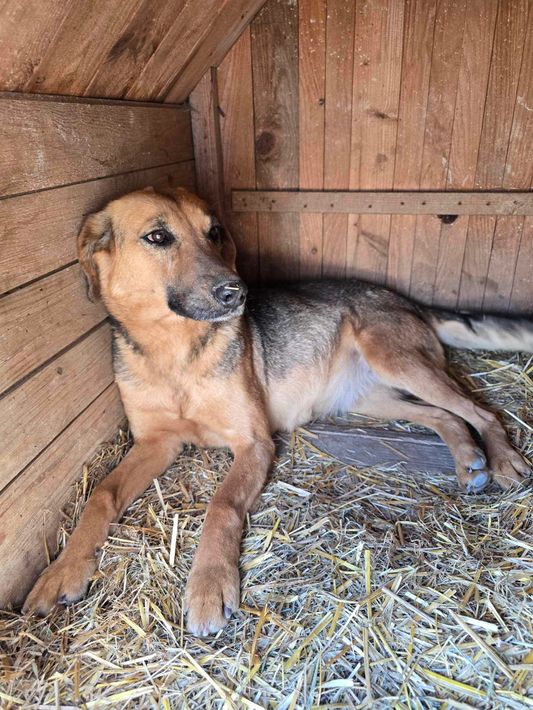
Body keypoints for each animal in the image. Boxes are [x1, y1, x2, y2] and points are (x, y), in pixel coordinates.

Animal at [23, 187, 532, 636]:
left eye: (214, 232)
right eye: (158, 236)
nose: (238, 292)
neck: (176, 353)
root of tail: (408, 301)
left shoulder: (254, 443)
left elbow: (222, 505)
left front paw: (208, 585)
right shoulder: (155, 442)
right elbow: (102, 495)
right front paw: (62, 570)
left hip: (395, 358)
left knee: (480, 411)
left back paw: (503, 460)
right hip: (371, 395)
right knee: (447, 416)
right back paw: (469, 461)